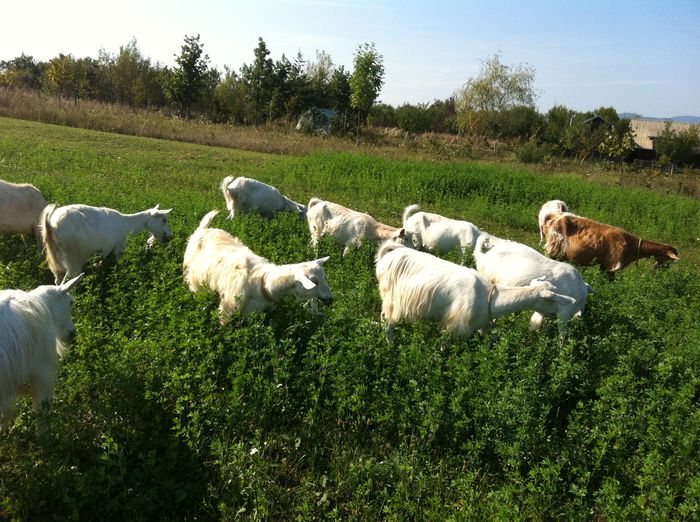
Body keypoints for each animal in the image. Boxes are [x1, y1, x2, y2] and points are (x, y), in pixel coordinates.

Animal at [40, 201, 174, 282]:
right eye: (164, 219)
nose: (170, 237)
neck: (127, 224)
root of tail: (50, 226)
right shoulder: (120, 248)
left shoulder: (104, 253)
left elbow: (100, 264)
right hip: (73, 260)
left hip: (56, 263)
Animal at [185, 207, 334, 320]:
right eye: (314, 281)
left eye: (325, 278)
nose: (330, 299)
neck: (263, 283)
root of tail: (204, 228)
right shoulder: (228, 308)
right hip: (195, 278)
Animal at [374, 241, 576, 342]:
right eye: (551, 299)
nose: (556, 313)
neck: (490, 299)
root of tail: (388, 255)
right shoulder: (455, 325)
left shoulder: (481, 325)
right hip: (390, 297)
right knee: (386, 321)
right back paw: (390, 343)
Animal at [540, 212, 680, 276]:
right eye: (669, 260)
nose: (661, 271)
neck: (632, 246)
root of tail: (554, 217)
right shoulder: (610, 265)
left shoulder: (603, 266)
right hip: (554, 249)